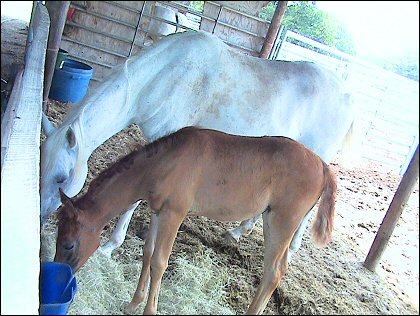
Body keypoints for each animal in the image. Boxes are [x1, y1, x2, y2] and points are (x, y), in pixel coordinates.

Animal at [41, 30, 356, 260]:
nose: (42, 216)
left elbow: (133, 199)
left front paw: (110, 246)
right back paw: (238, 232)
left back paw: (290, 249)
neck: (164, 77)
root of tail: (347, 94)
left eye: (61, 177)